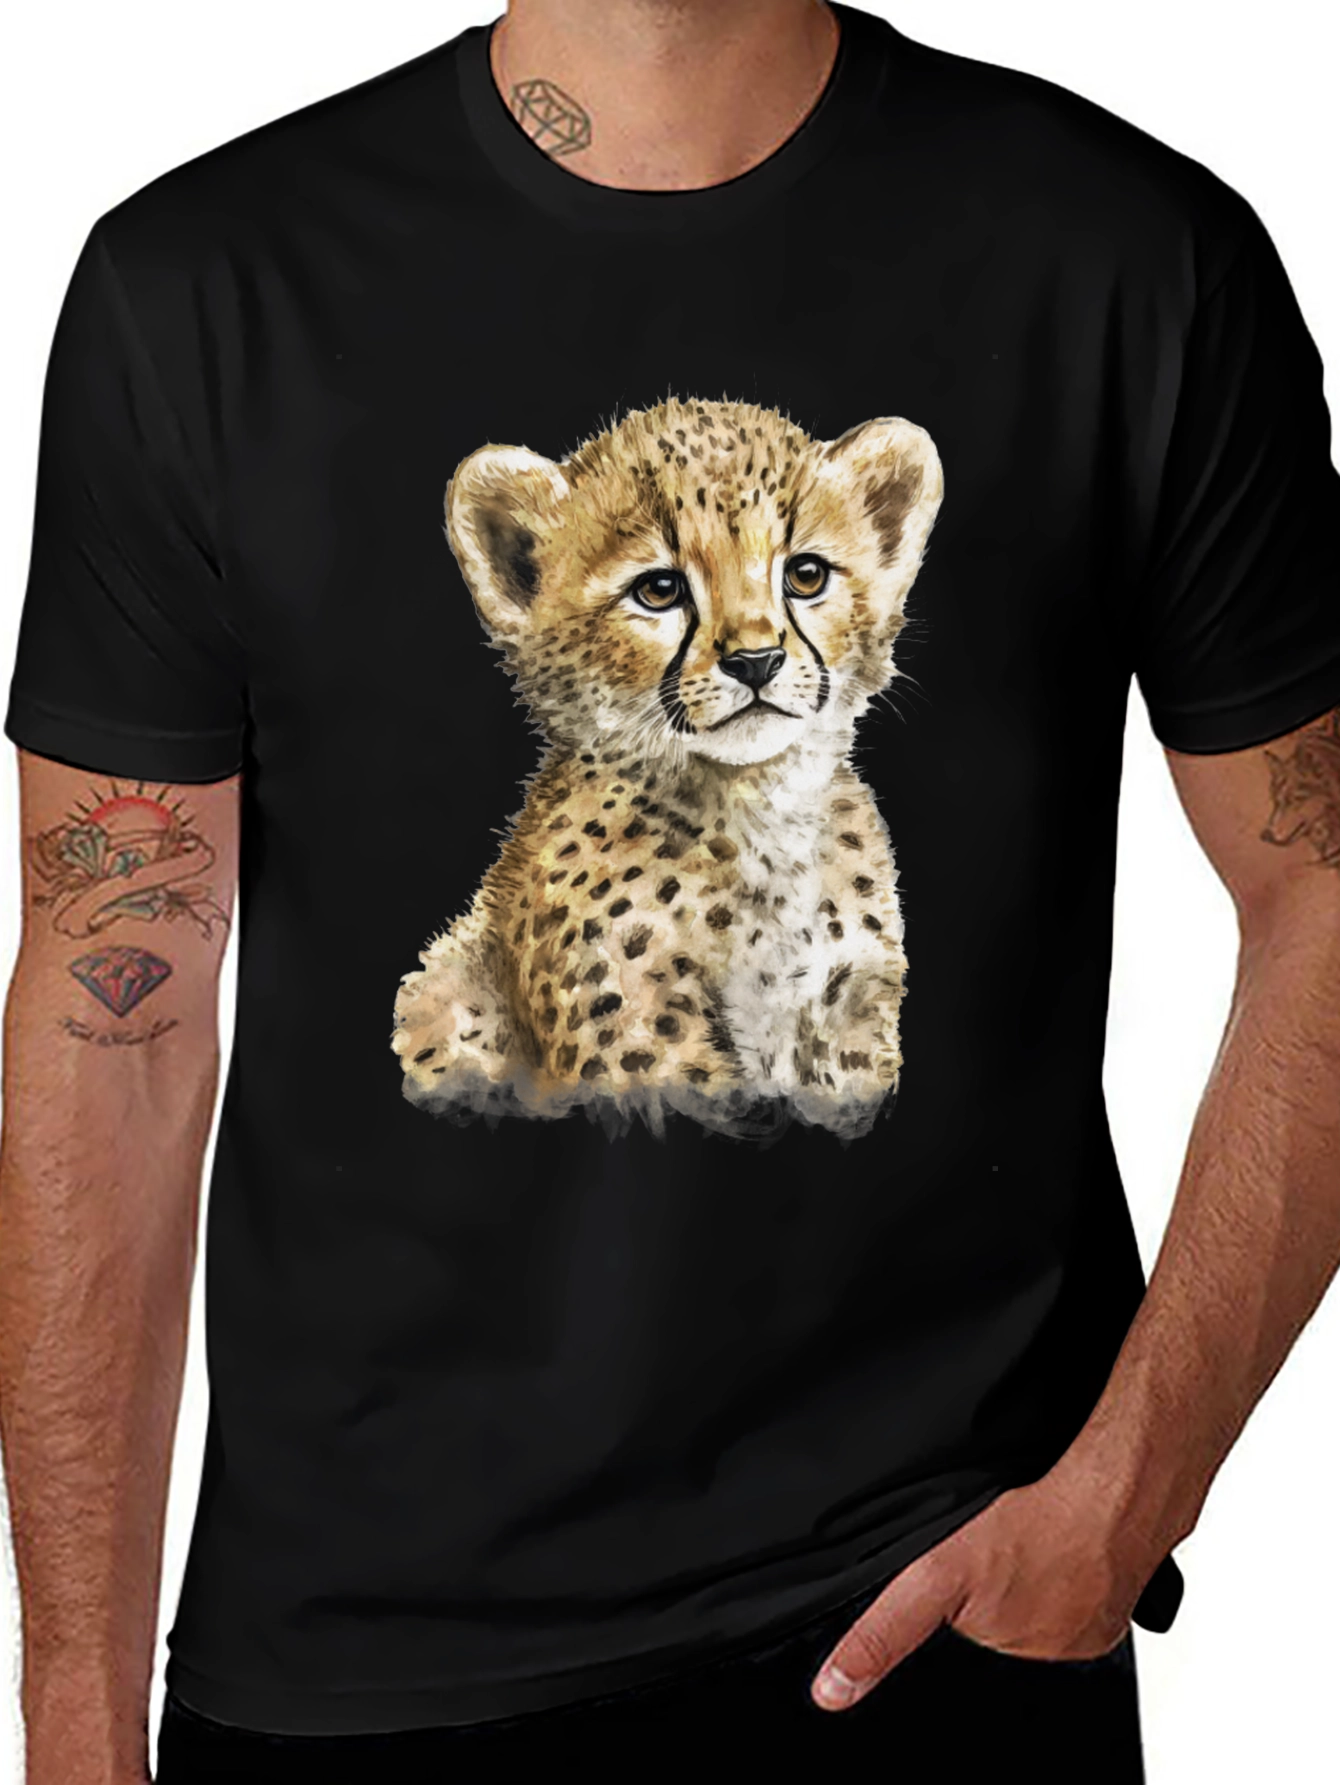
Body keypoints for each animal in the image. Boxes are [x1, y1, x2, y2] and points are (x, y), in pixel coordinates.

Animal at [392, 396, 943, 1136]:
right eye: (659, 589)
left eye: (806, 575)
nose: (756, 660)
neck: (754, 805)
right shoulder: (638, 1038)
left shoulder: (846, 1014)